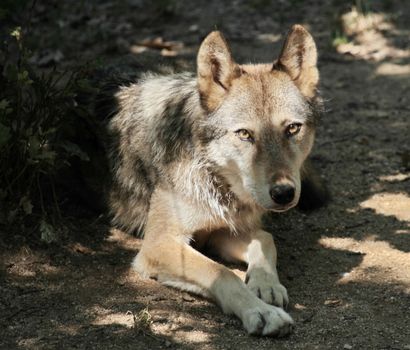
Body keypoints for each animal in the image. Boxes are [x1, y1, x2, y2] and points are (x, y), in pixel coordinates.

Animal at [103, 24, 326, 336]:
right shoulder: (158, 244)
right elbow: (222, 272)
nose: (283, 193)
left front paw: (265, 285)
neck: (213, 178)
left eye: (293, 128)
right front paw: (261, 312)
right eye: (245, 134)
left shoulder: (218, 232)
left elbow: (265, 238)